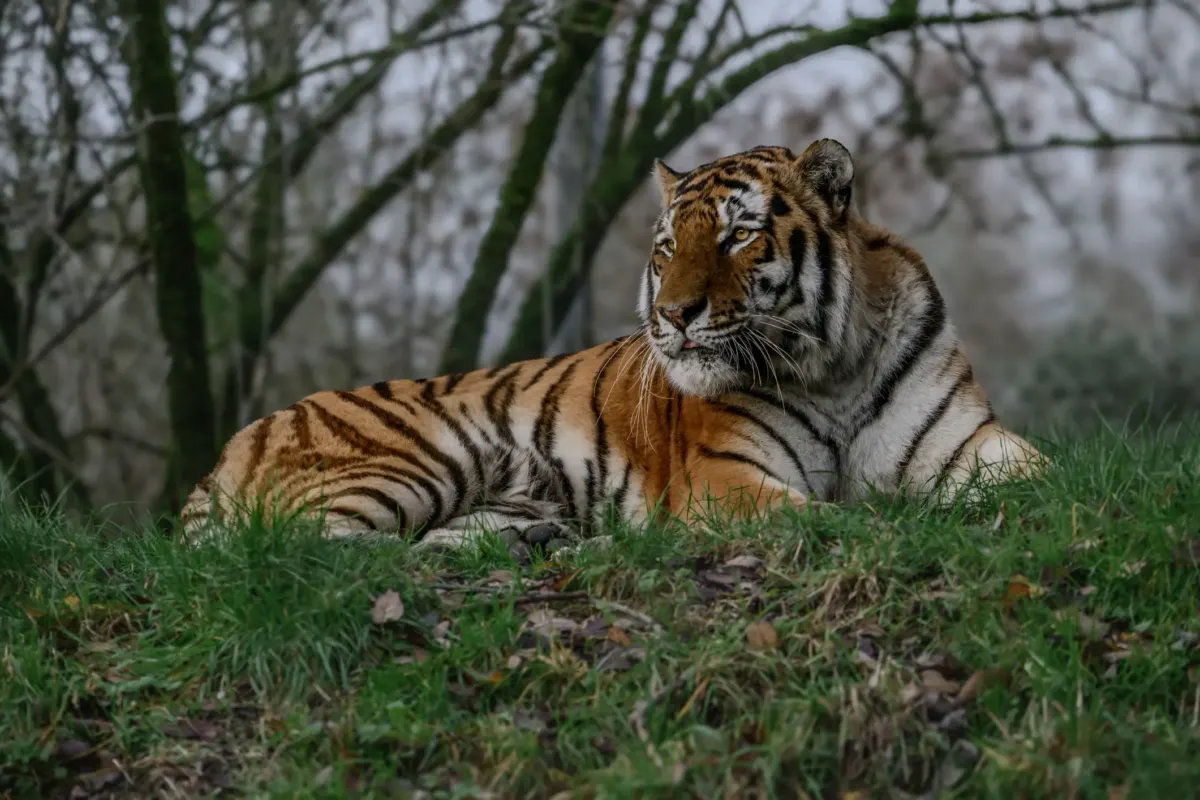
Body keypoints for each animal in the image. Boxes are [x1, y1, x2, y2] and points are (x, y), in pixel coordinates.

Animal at [180, 138, 1043, 553]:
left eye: (736, 236)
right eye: (665, 248)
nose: (674, 314)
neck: (834, 366)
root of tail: (233, 442)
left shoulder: (967, 442)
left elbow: (1041, 475)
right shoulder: (725, 479)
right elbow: (837, 517)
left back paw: (539, 540)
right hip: (413, 459)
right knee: (295, 556)